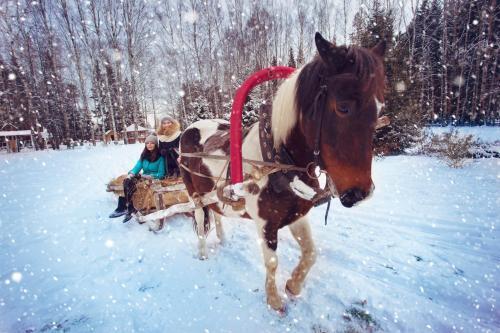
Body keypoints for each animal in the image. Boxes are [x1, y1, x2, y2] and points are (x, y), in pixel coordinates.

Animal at [180, 32, 386, 310]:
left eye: (380, 108)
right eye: (343, 107)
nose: (361, 193)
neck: (276, 162)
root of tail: (189, 129)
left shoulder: (297, 215)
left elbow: (311, 253)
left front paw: (293, 285)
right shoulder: (266, 223)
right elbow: (272, 262)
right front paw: (275, 301)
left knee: (217, 213)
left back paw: (222, 240)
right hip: (195, 195)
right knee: (201, 220)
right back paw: (202, 253)